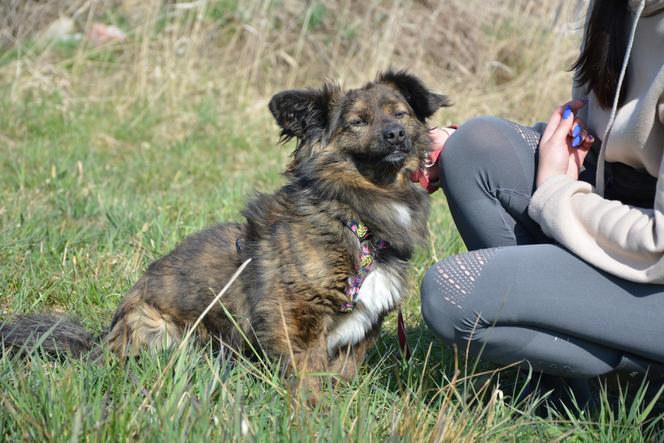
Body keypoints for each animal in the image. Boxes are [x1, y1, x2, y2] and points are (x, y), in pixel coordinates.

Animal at [2, 70, 448, 386]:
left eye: (400, 113)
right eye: (358, 122)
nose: (396, 134)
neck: (355, 215)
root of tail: (100, 340)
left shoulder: (360, 330)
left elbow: (341, 375)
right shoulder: (296, 316)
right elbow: (309, 378)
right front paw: (311, 418)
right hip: (157, 330)